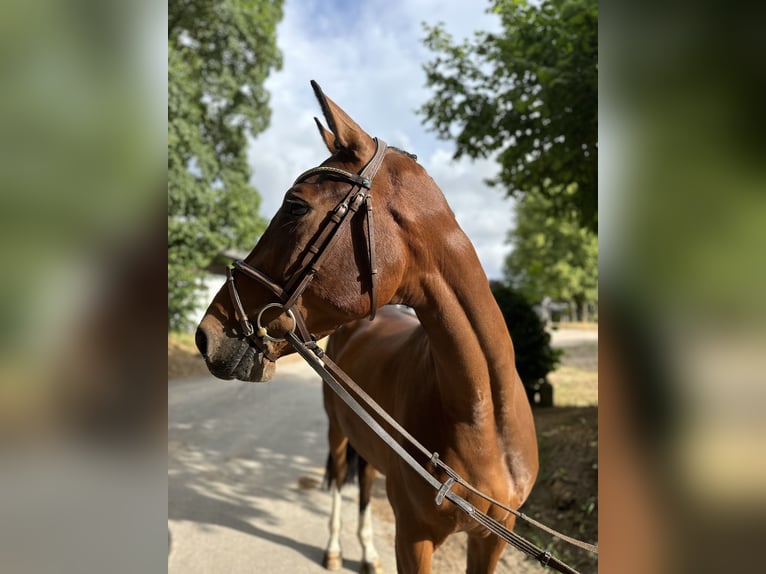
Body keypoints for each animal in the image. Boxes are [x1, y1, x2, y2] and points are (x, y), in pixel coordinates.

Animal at [198, 82, 540, 574]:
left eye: (295, 206)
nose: (206, 334)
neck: (484, 420)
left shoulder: (491, 541)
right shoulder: (414, 538)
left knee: (362, 486)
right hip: (338, 434)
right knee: (343, 481)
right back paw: (336, 548)